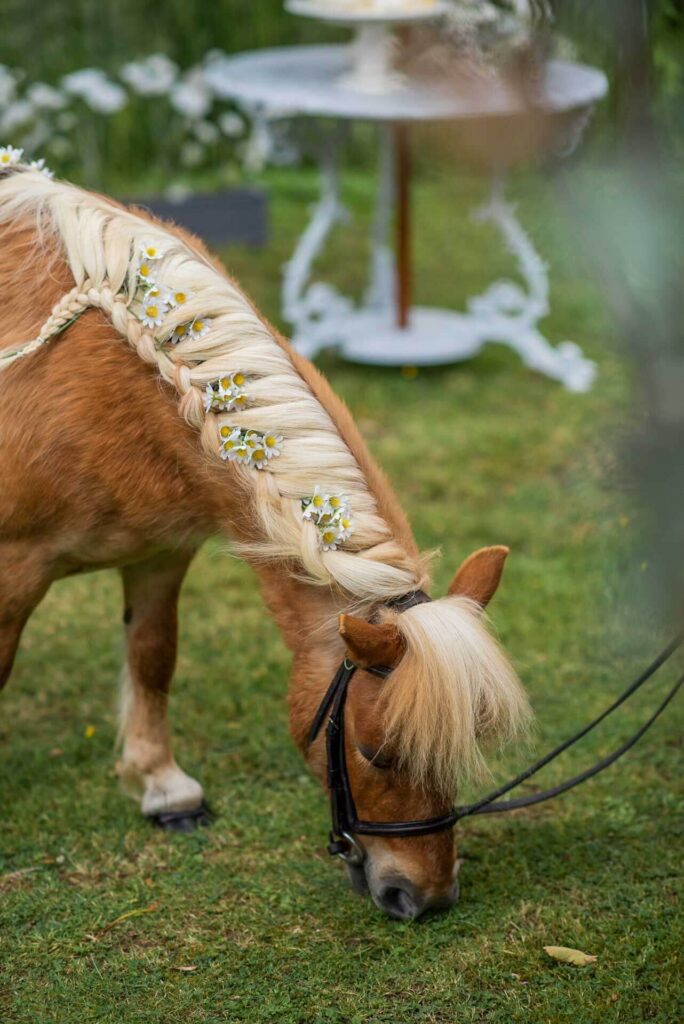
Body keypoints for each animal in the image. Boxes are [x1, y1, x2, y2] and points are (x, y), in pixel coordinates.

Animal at [0, 159, 531, 920]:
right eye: (375, 753)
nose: (423, 896)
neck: (95, 380)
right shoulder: (14, 568)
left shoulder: (159, 555)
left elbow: (153, 657)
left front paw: (163, 786)